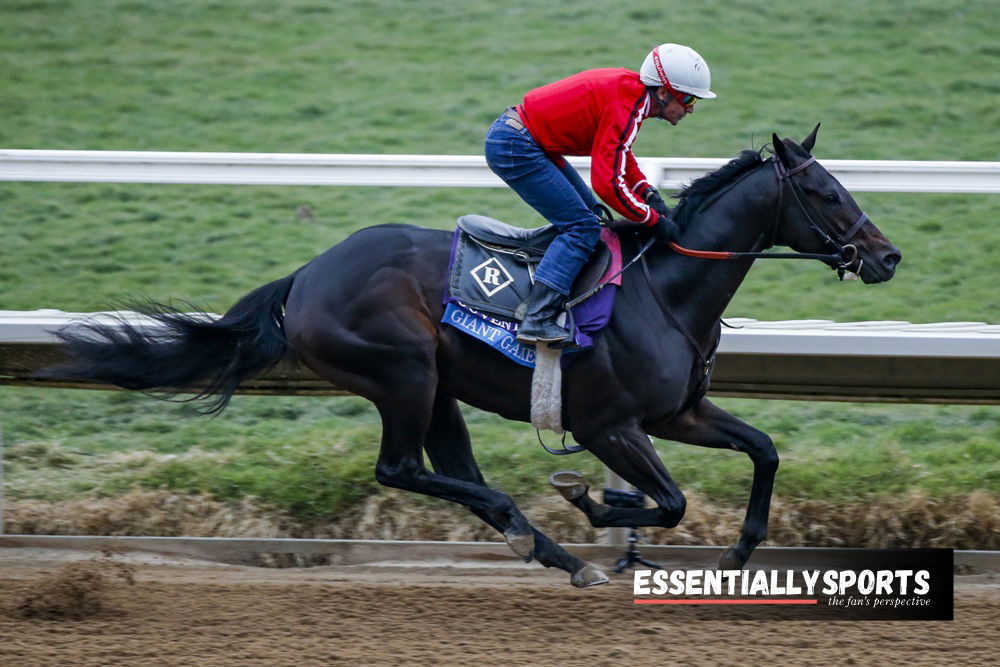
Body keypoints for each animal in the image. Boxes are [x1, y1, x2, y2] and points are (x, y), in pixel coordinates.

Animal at [43, 126, 901, 587]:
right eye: (825, 192)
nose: (886, 256)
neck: (667, 288)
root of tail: (307, 276)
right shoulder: (610, 424)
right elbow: (669, 500)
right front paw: (592, 502)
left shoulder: (678, 410)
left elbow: (763, 449)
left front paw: (740, 547)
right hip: (403, 371)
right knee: (402, 467)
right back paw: (535, 528)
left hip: (438, 387)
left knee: (451, 469)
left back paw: (551, 548)